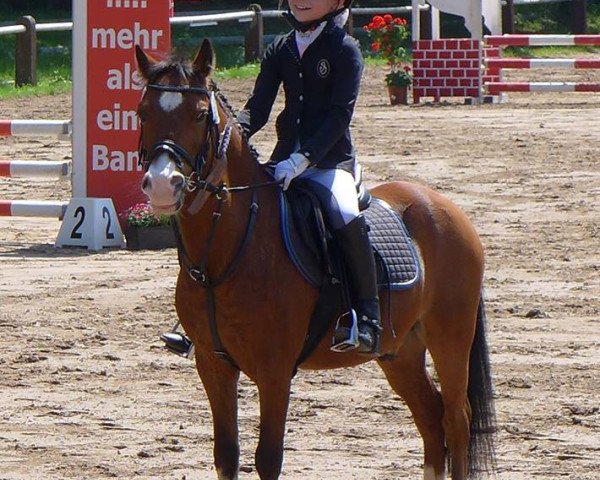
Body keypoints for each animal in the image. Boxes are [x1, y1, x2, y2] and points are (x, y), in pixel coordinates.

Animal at [136, 41, 496, 480]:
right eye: (143, 112)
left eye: (201, 114)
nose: (161, 185)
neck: (224, 255)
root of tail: (444, 206)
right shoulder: (212, 364)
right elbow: (226, 455)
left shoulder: (274, 371)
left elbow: (268, 458)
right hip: (400, 351)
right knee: (431, 418)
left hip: (450, 337)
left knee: (456, 420)